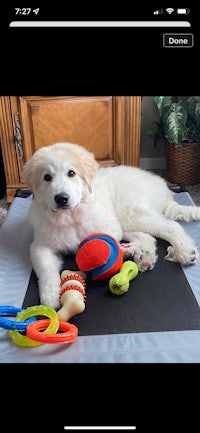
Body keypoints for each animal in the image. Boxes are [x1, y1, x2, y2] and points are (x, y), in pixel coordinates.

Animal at [23, 142, 200, 308]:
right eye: (47, 177)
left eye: (71, 173)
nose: (61, 198)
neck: (70, 216)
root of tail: (164, 187)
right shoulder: (40, 245)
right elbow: (46, 268)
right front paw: (50, 295)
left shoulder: (109, 226)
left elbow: (100, 243)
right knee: (147, 236)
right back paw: (144, 257)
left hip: (131, 213)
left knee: (171, 226)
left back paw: (185, 252)